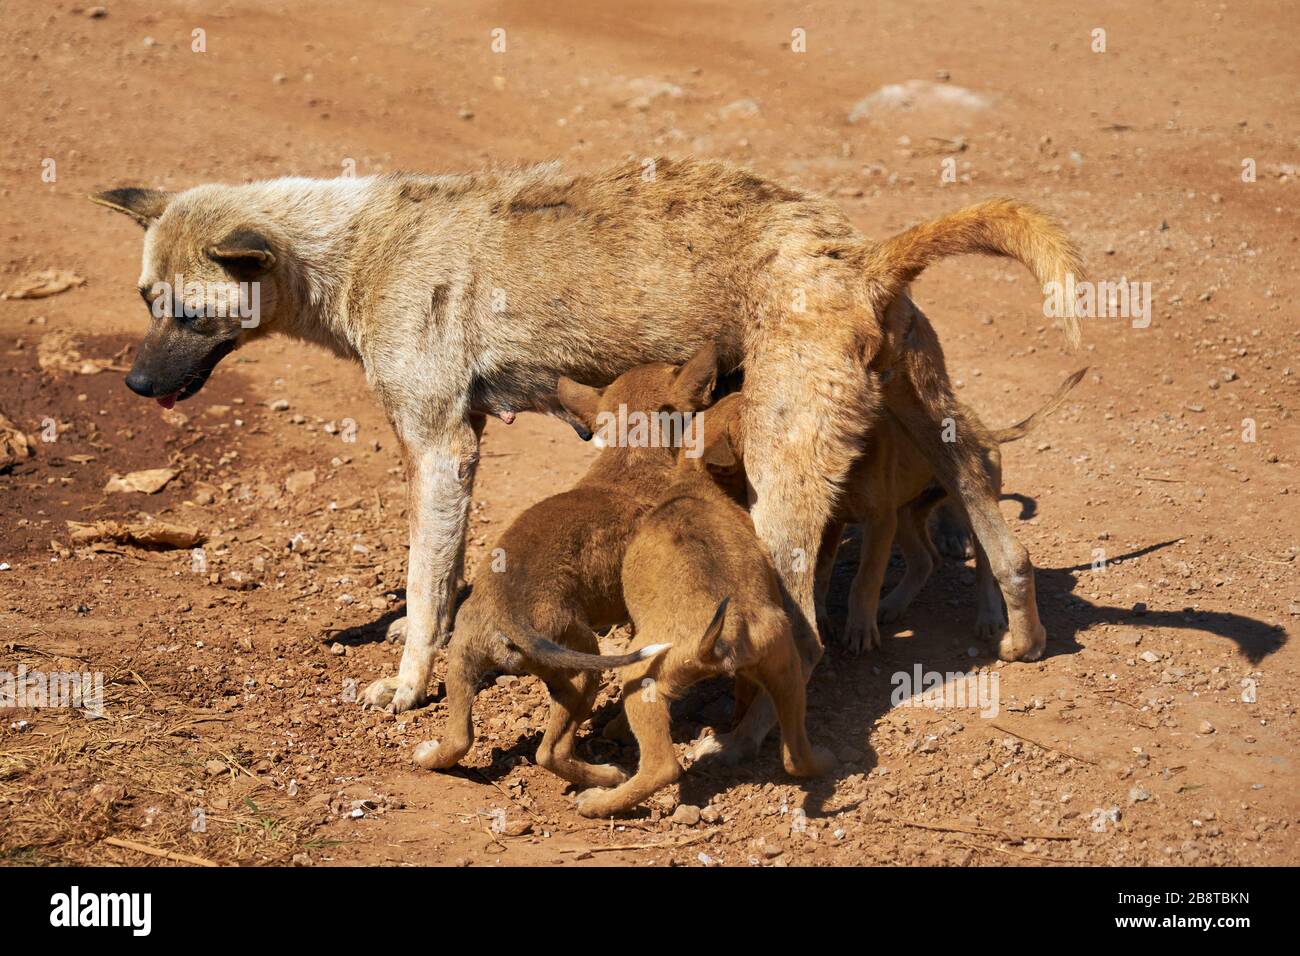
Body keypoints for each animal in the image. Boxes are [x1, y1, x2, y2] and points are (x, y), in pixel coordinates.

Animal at [91, 160, 1081, 723]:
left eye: (189, 314)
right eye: (144, 302)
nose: (133, 386)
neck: (359, 248)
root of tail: (861, 256)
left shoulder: (443, 449)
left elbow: (424, 588)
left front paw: (406, 686)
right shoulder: (456, 449)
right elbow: (436, 583)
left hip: (782, 478)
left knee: (801, 612)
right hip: (931, 426)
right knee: (997, 518)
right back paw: (1018, 633)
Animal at [413, 348, 717, 790]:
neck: (629, 458)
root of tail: (507, 613)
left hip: (461, 662)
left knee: (458, 740)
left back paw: (427, 754)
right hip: (581, 669)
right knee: (549, 752)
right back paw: (605, 776)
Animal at [577, 408, 837, 816]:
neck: (695, 482)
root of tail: (727, 632)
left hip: (641, 673)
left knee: (662, 767)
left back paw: (600, 803)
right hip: (787, 667)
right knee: (794, 755)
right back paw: (824, 762)